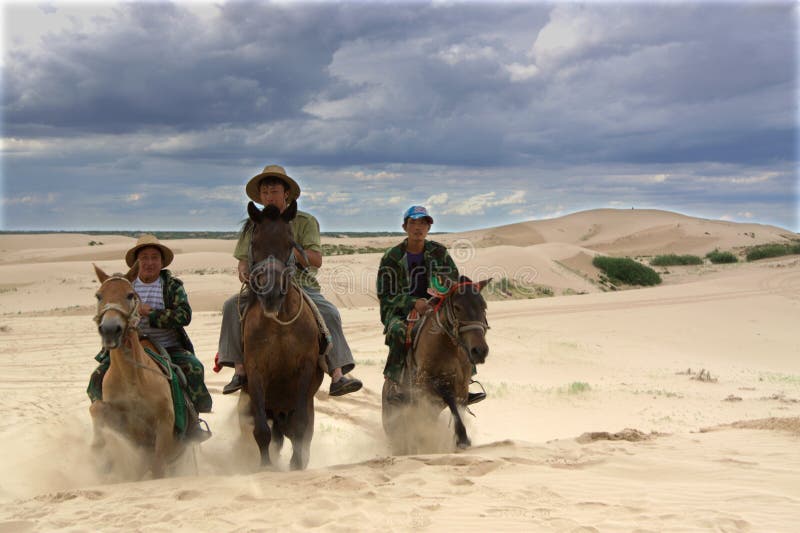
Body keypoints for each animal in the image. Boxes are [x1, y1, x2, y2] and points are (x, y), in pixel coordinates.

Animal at [90, 264, 181, 476]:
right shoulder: (126, 427)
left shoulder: (165, 423)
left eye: (130, 295)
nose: (110, 329)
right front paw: (97, 444)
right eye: (99, 295)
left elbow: (158, 467)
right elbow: (96, 407)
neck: (133, 380)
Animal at [241, 197, 324, 468]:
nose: (271, 294)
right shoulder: (255, 371)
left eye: (290, 243)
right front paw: (267, 467)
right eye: (254, 243)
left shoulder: (305, 368)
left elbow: (300, 428)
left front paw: (295, 465)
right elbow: (261, 431)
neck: (279, 324)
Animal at [380, 276, 488, 450]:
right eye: (457, 307)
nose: (480, 350)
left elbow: (459, 408)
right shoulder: (429, 384)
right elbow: (450, 399)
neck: (448, 347)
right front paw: (462, 438)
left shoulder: (462, 386)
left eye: (483, 306)